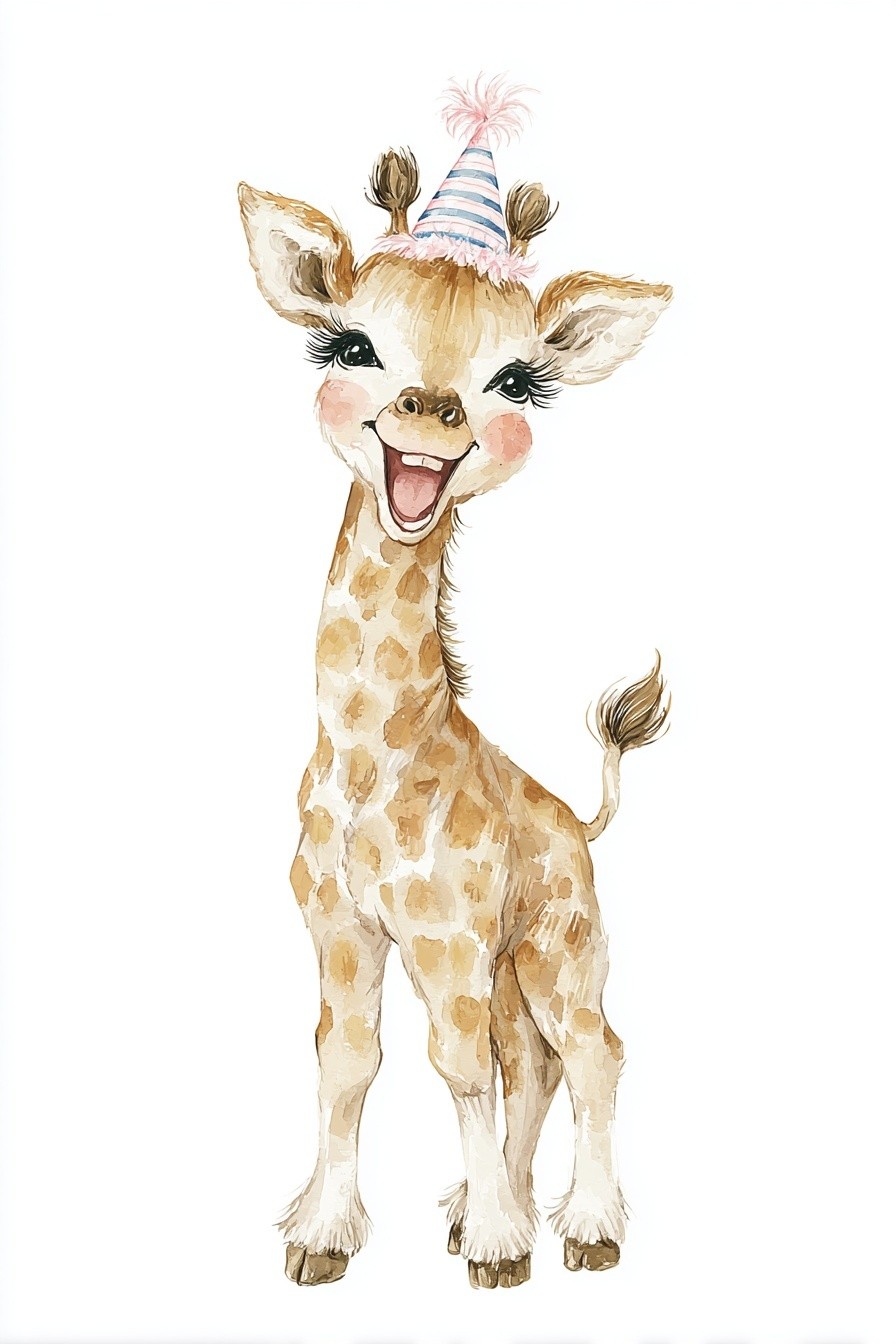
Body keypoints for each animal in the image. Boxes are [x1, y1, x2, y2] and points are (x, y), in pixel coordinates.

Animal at [238, 86, 671, 1292]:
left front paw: (498, 1250)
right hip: (517, 956)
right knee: (534, 1057)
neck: (369, 757)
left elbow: (454, 1064)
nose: (430, 412)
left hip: (560, 942)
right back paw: (481, 1207)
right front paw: (322, 1236)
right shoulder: (339, 920)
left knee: (590, 1048)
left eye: (516, 381)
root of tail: (579, 820)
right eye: (349, 344)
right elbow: (349, 1058)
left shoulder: (444, 932)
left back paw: (582, 1229)